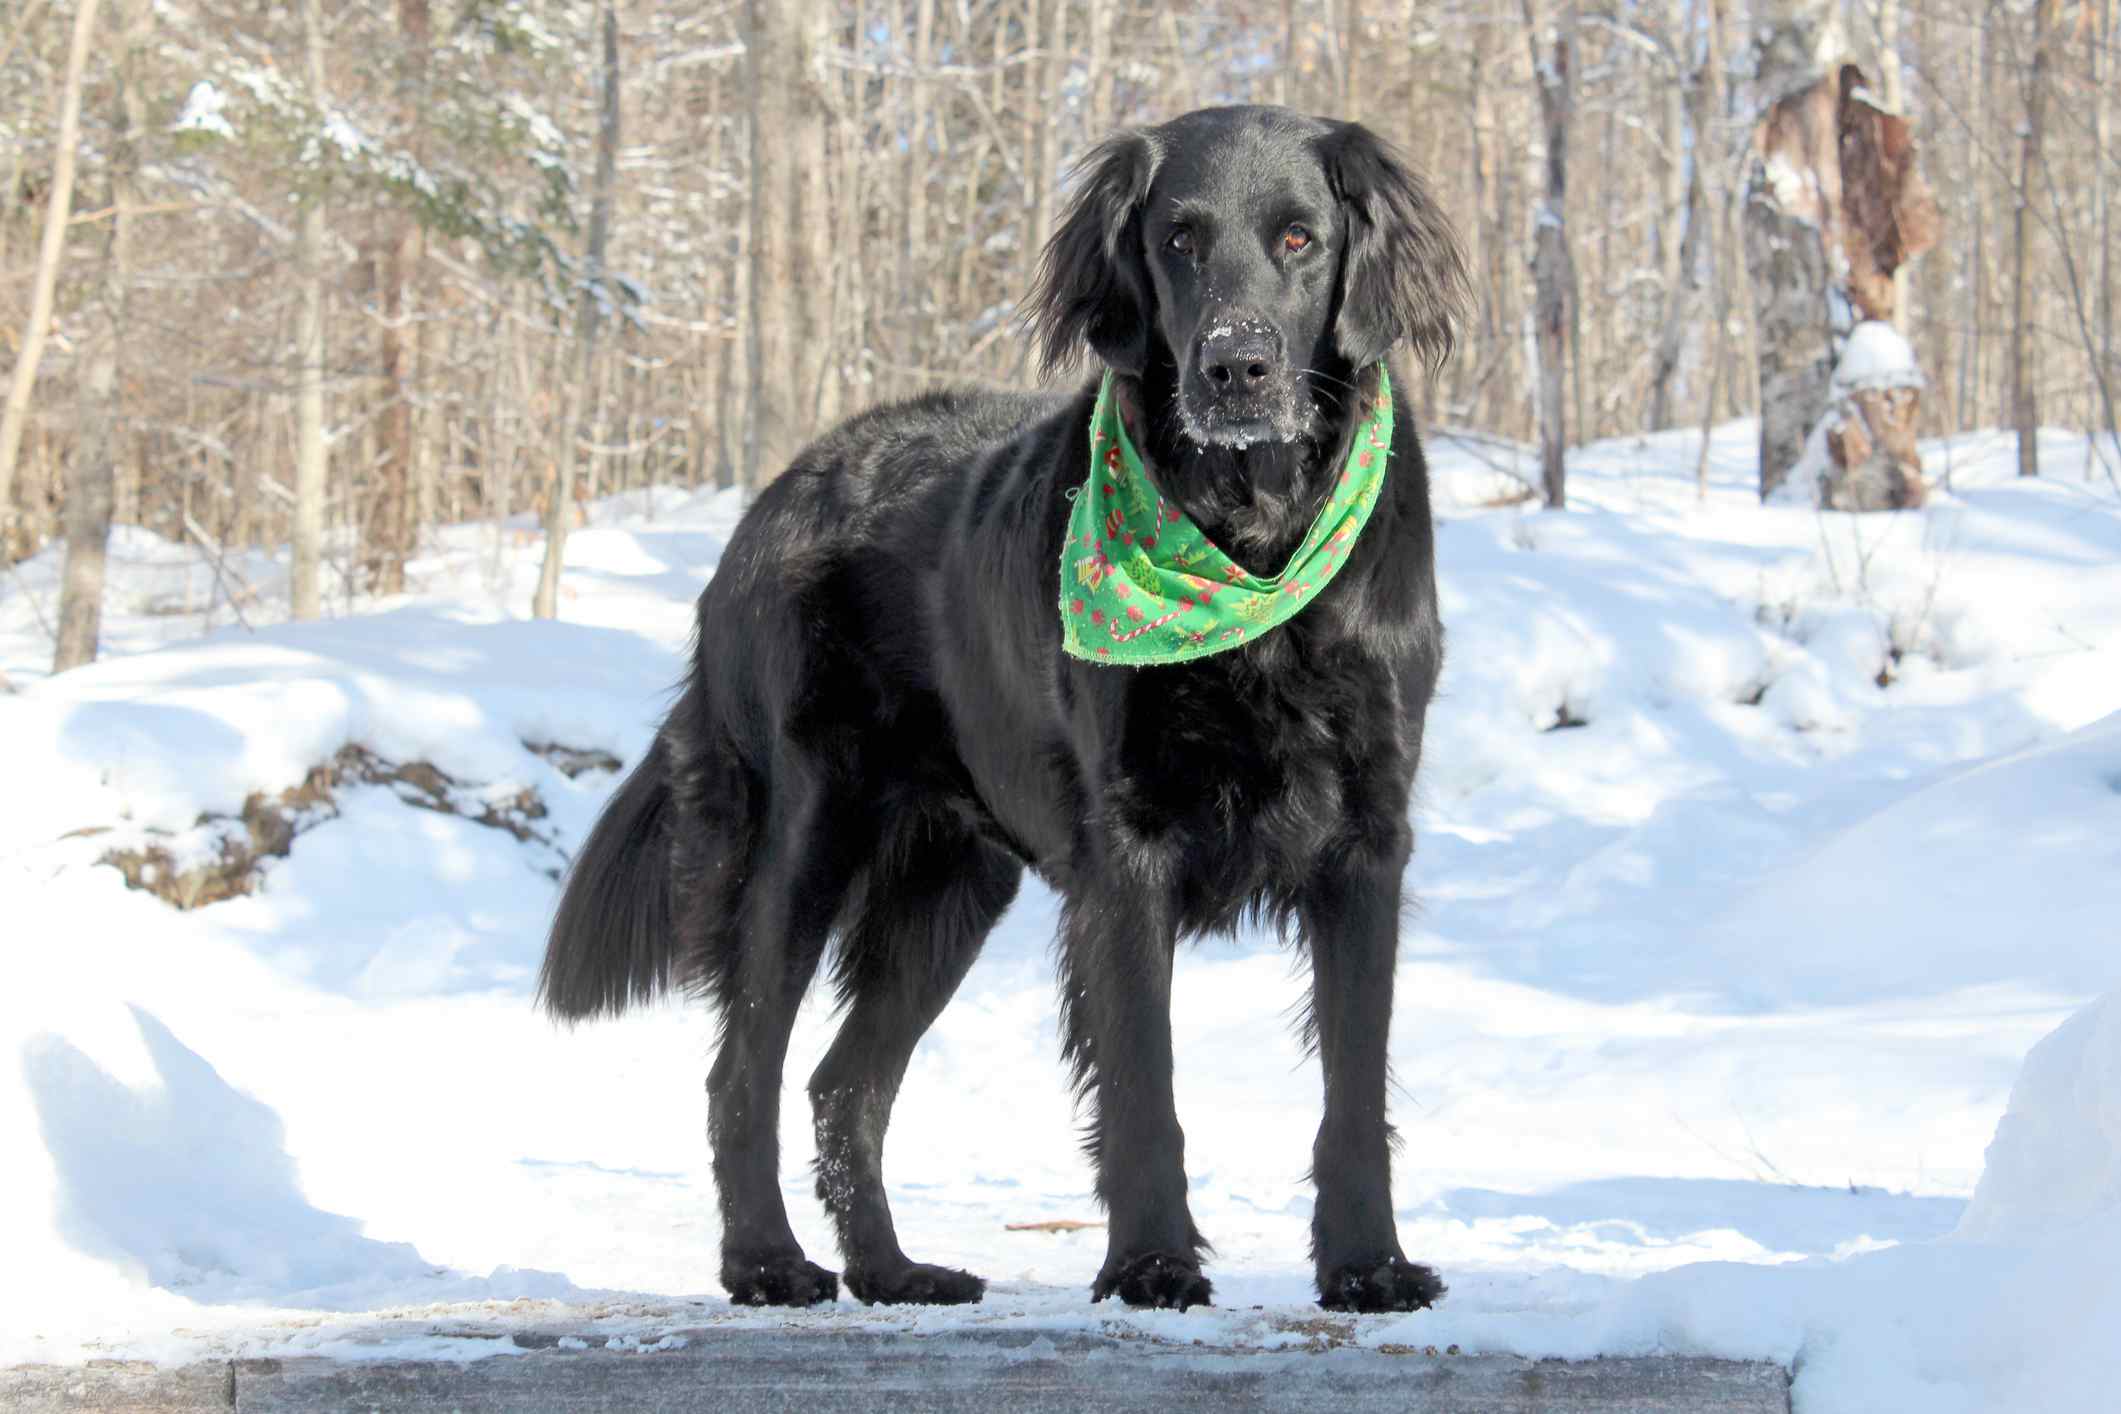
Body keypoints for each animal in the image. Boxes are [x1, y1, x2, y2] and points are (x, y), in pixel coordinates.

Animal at [547, 108, 1467, 1314]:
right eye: (1177, 240)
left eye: (1301, 238)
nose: (1235, 366)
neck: (1251, 539)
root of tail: (771, 501)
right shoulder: (1127, 847)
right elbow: (1142, 1079)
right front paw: (1152, 1262)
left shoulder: (1367, 833)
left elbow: (1353, 1087)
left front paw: (1367, 1265)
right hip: (807, 834)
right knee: (743, 1069)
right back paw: (768, 1263)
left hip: (952, 879)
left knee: (844, 1085)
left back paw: (894, 1271)